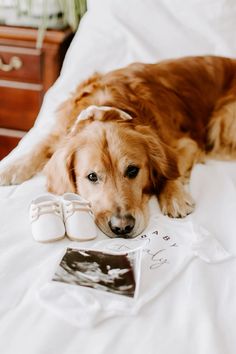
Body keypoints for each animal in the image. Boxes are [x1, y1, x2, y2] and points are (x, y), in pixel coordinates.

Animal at [0, 56, 236, 238]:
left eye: (132, 170)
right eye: (92, 176)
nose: (122, 227)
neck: (106, 108)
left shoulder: (185, 144)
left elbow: (172, 170)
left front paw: (174, 197)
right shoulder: (61, 131)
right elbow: (41, 146)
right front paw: (11, 168)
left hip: (222, 120)